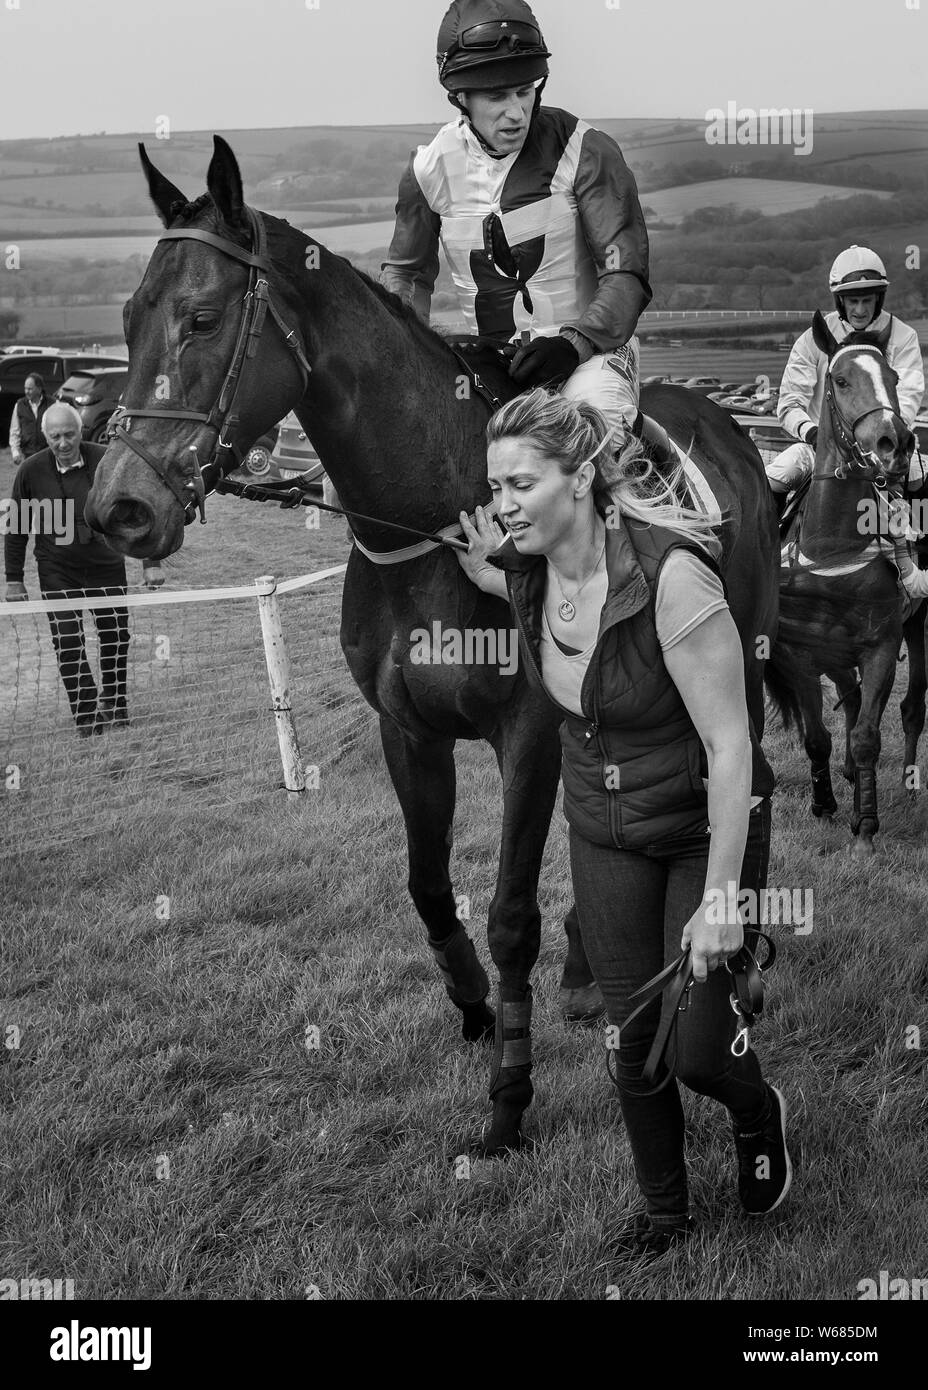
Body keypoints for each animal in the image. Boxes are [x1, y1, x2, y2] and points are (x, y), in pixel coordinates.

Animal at [88, 138, 777, 1150]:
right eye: (130, 318)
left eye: (203, 318)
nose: (119, 506)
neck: (439, 520)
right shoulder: (408, 730)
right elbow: (426, 886)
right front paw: (475, 1004)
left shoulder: (530, 735)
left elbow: (511, 914)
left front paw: (510, 1097)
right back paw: (587, 979)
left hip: (742, 657)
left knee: (751, 778)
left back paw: (742, 963)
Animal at [766, 311, 916, 850]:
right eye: (841, 379)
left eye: (894, 377)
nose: (897, 443)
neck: (833, 551)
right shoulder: (798, 652)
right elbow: (817, 737)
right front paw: (826, 803)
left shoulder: (881, 644)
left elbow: (869, 734)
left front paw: (865, 825)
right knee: (849, 700)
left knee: (909, 707)